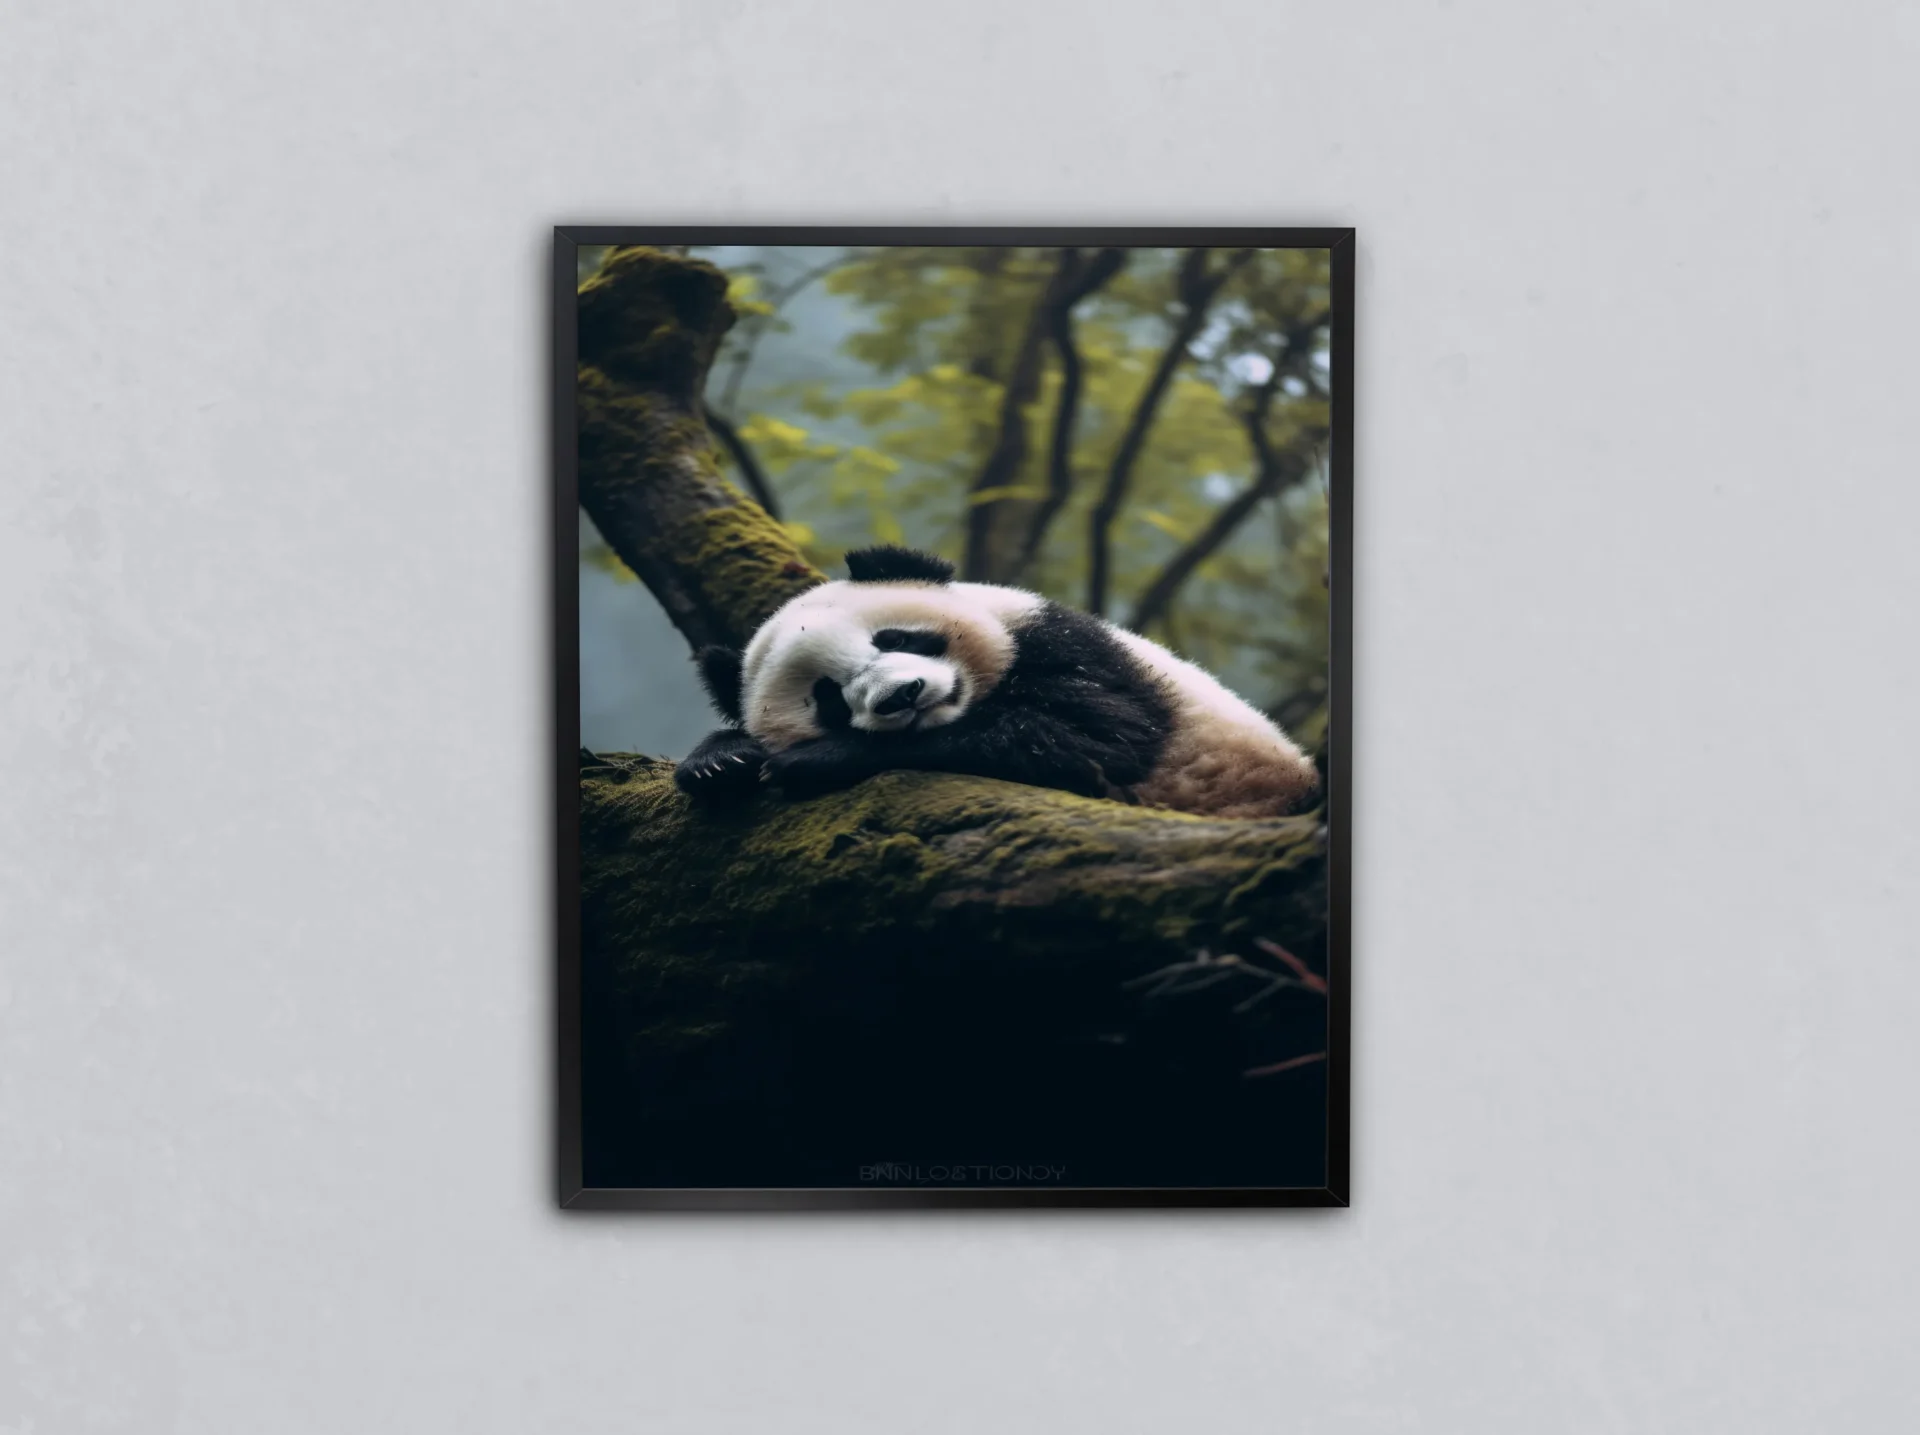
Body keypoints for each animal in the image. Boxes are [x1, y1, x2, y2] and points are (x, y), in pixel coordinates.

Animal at [674, 545, 1320, 820]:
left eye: (897, 638)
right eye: (826, 698)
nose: (901, 696)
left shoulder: (1063, 643)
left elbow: (1091, 737)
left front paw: (813, 761)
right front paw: (719, 760)